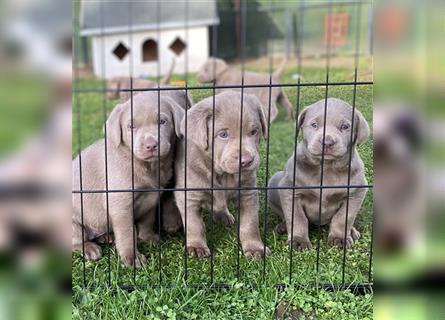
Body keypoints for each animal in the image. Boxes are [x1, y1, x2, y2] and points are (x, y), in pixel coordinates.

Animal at [72, 90, 186, 268]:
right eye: (131, 126)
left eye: (162, 121)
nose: (151, 145)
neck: (147, 167)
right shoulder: (120, 205)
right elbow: (126, 233)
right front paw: (132, 258)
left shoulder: (150, 198)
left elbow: (147, 220)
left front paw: (148, 237)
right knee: (75, 240)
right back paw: (89, 248)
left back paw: (106, 237)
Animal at [174, 90, 270, 258]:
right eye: (223, 134)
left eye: (253, 131)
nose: (247, 161)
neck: (222, 175)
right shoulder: (188, 196)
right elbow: (194, 225)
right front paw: (196, 247)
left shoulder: (248, 193)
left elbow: (250, 224)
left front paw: (255, 248)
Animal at [268, 99, 368, 249]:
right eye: (314, 125)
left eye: (345, 126)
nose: (327, 142)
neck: (326, 167)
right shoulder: (289, 190)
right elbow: (297, 217)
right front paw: (299, 240)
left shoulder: (357, 192)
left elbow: (344, 217)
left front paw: (339, 238)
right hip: (274, 181)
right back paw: (282, 227)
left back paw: (352, 231)